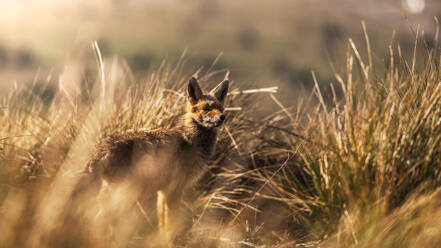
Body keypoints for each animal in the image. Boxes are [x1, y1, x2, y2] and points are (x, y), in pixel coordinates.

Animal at [81, 75, 230, 246]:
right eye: (206, 108)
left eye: (220, 108)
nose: (222, 117)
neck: (192, 142)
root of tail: (102, 147)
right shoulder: (175, 190)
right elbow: (171, 227)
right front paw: (174, 244)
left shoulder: (163, 192)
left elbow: (162, 225)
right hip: (124, 195)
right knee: (98, 218)